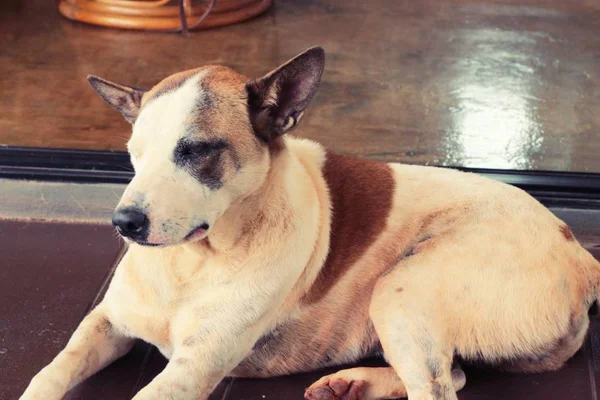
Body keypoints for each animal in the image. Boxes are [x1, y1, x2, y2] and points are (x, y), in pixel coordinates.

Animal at [18, 47, 600, 400]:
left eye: (197, 151)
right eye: (133, 153)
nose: (124, 223)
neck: (192, 262)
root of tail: (577, 250)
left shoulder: (189, 370)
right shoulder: (105, 323)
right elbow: (52, 371)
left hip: (400, 290)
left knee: (438, 389)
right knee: (453, 372)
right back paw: (353, 384)